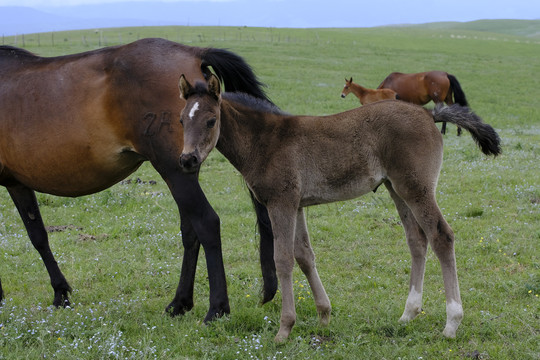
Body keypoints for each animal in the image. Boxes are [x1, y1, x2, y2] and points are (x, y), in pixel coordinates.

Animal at [0, 38, 278, 322]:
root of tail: (194, 52)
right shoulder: (17, 183)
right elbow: (38, 235)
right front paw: (61, 292)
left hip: (175, 171)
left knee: (207, 223)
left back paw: (217, 308)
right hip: (184, 170)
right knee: (190, 231)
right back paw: (180, 303)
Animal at [178, 74, 502, 342]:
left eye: (211, 120)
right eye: (181, 120)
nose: (187, 160)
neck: (266, 140)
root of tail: (428, 114)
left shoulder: (281, 202)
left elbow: (282, 259)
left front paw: (284, 328)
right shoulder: (296, 205)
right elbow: (304, 255)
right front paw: (324, 315)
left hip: (416, 189)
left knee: (441, 237)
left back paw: (452, 323)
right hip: (397, 190)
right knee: (417, 241)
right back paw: (408, 314)